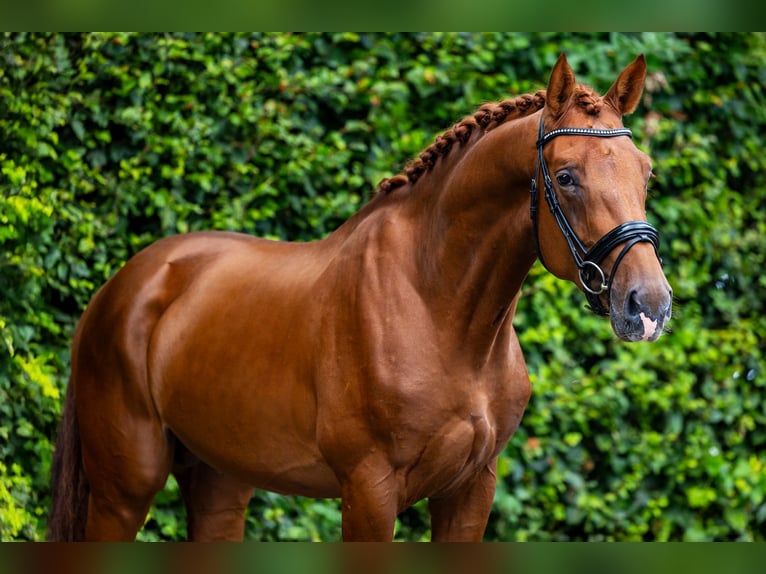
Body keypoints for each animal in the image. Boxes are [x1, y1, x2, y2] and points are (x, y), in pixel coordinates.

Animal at [49, 54, 672, 542]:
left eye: (646, 173)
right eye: (565, 177)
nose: (649, 305)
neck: (436, 310)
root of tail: (122, 287)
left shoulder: (472, 490)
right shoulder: (369, 491)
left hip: (219, 481)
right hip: (124, 489)